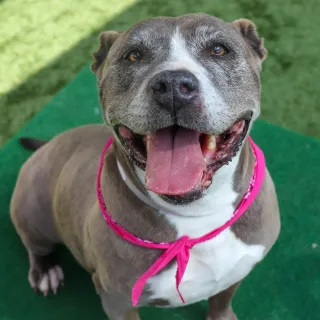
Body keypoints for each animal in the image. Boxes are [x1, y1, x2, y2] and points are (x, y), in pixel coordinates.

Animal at [10, 14, 280, 320]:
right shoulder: (117, 299)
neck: (197, 216)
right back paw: (45, 270)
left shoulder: (237, 271)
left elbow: (221, 300)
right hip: (32, 212)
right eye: (133, 56)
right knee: (34, 245)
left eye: (218, 50)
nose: (173, 85)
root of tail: (48, 144)